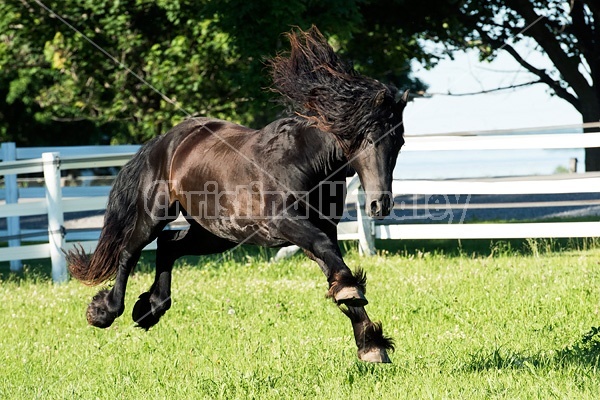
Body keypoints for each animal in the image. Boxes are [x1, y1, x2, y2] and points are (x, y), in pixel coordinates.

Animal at [68, 26, 410, 364]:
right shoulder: (285, 223)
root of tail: (165, 142)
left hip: (216, 233)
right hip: (157, 214)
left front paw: (371, 344)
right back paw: (105, 311)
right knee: (130, 249)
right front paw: (357, 303)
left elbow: (335, 268)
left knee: (168, 246)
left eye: (400, 141)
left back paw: (150, 308)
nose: (380, 204)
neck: (302, 160)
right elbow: (331, 257)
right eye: (368, 137)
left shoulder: (321, 229)